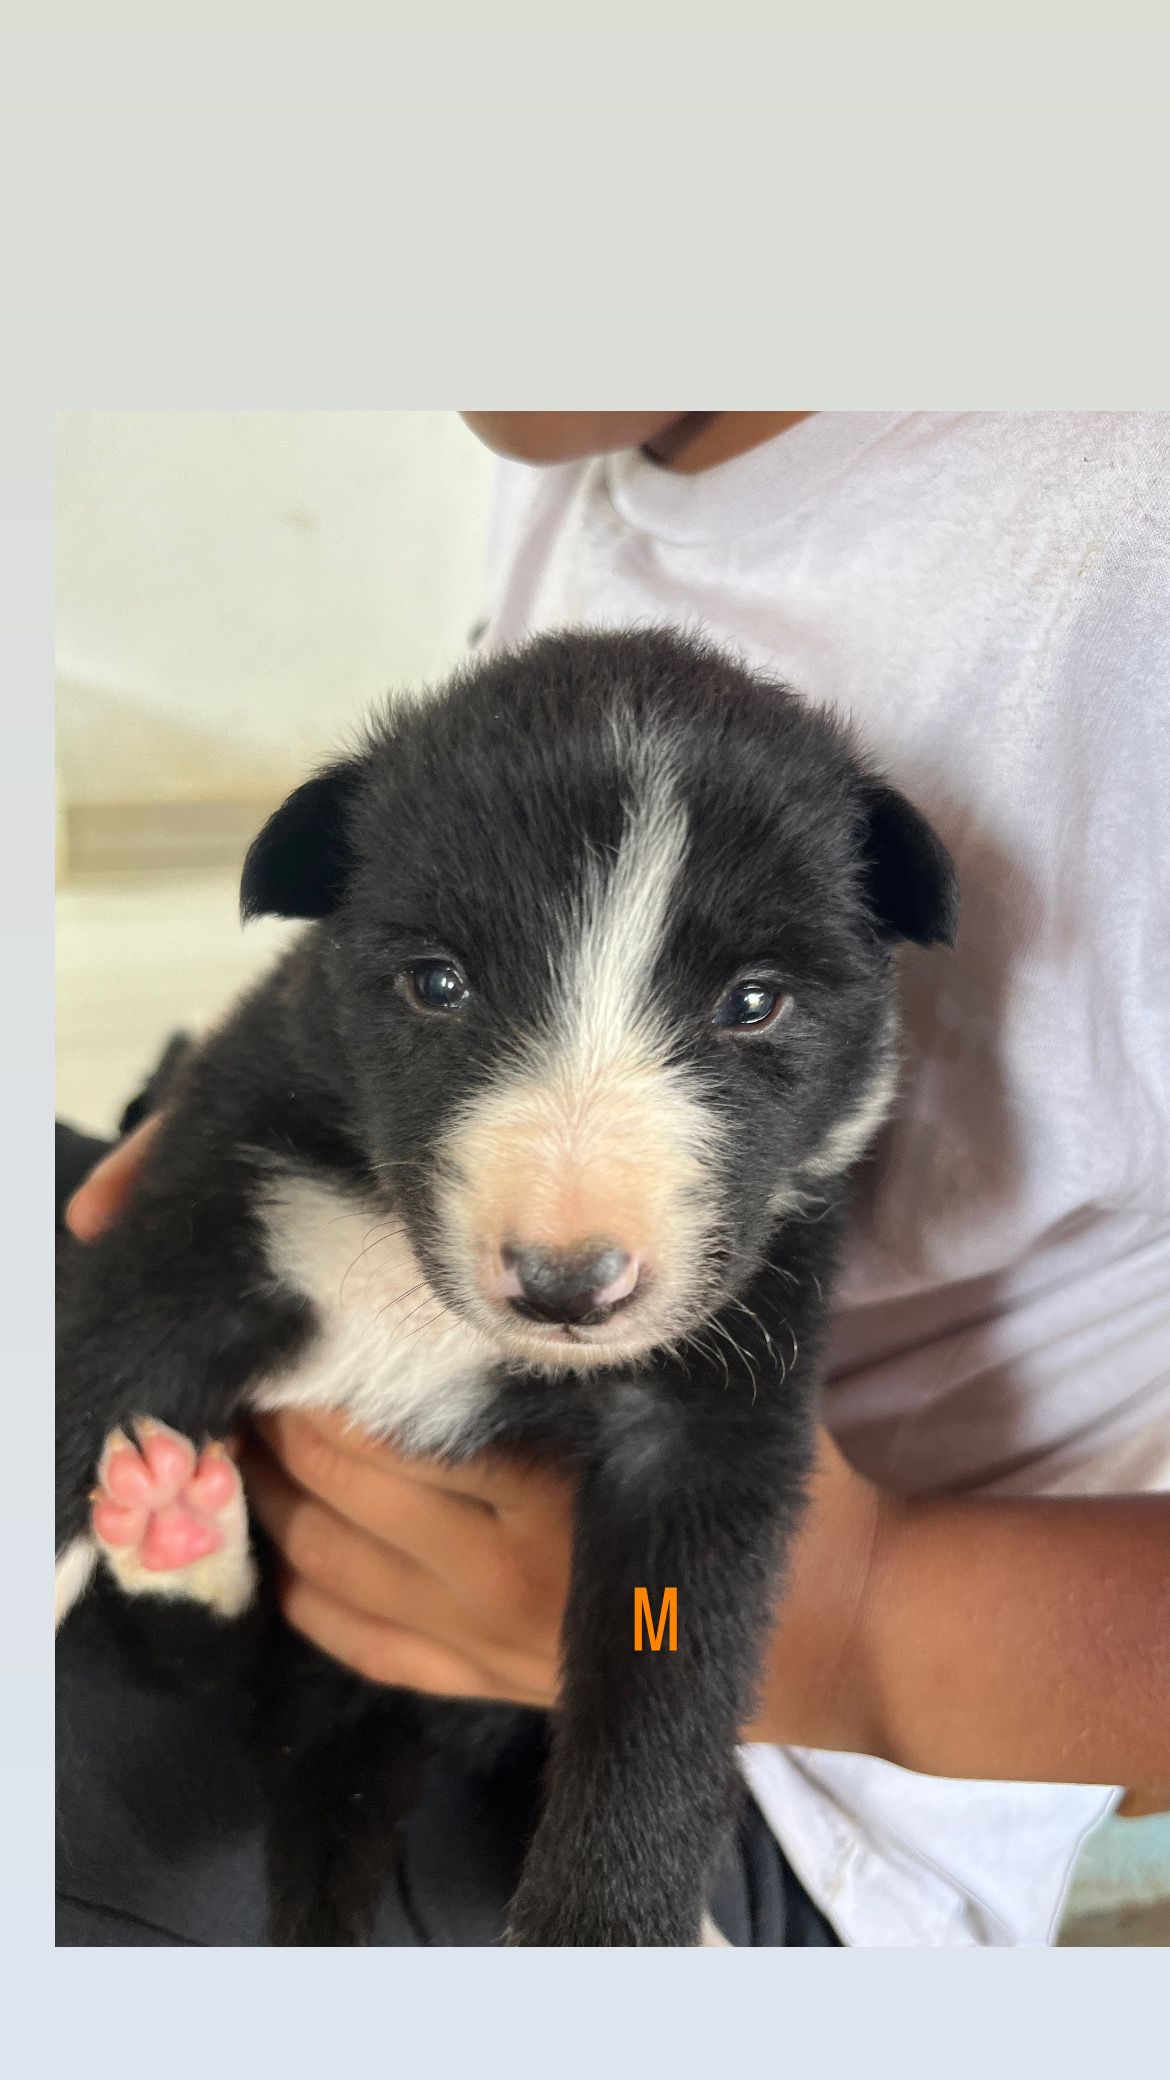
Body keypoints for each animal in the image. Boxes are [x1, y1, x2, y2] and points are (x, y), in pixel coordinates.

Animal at [52, 619, 957, 1946]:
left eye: (753, 1002)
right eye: (438, 983)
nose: (567, 1284)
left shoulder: (716, 1405)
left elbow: (664, 1706)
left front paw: (613, 1923)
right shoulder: (210, 1222)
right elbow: (84, 1396)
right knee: (200, 1662)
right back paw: (177, 1532)